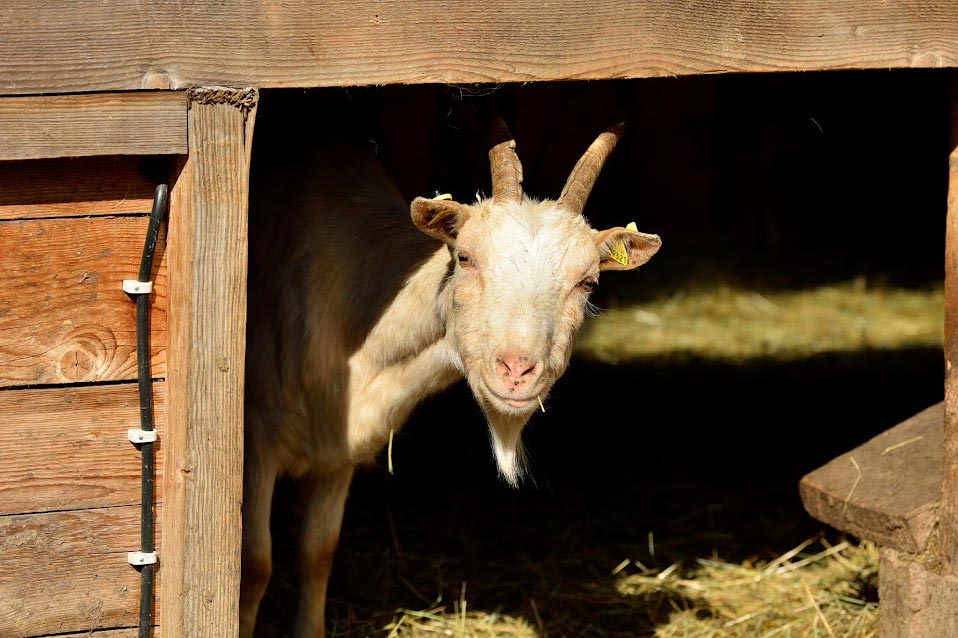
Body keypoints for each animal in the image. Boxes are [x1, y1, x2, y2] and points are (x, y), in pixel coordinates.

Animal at [241, 120, 661, 637]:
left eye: (587, 282)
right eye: (464, 257)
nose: (516, 369)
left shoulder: (339, 454)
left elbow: (317, 554)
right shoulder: (256, 443)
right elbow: (254, 565)